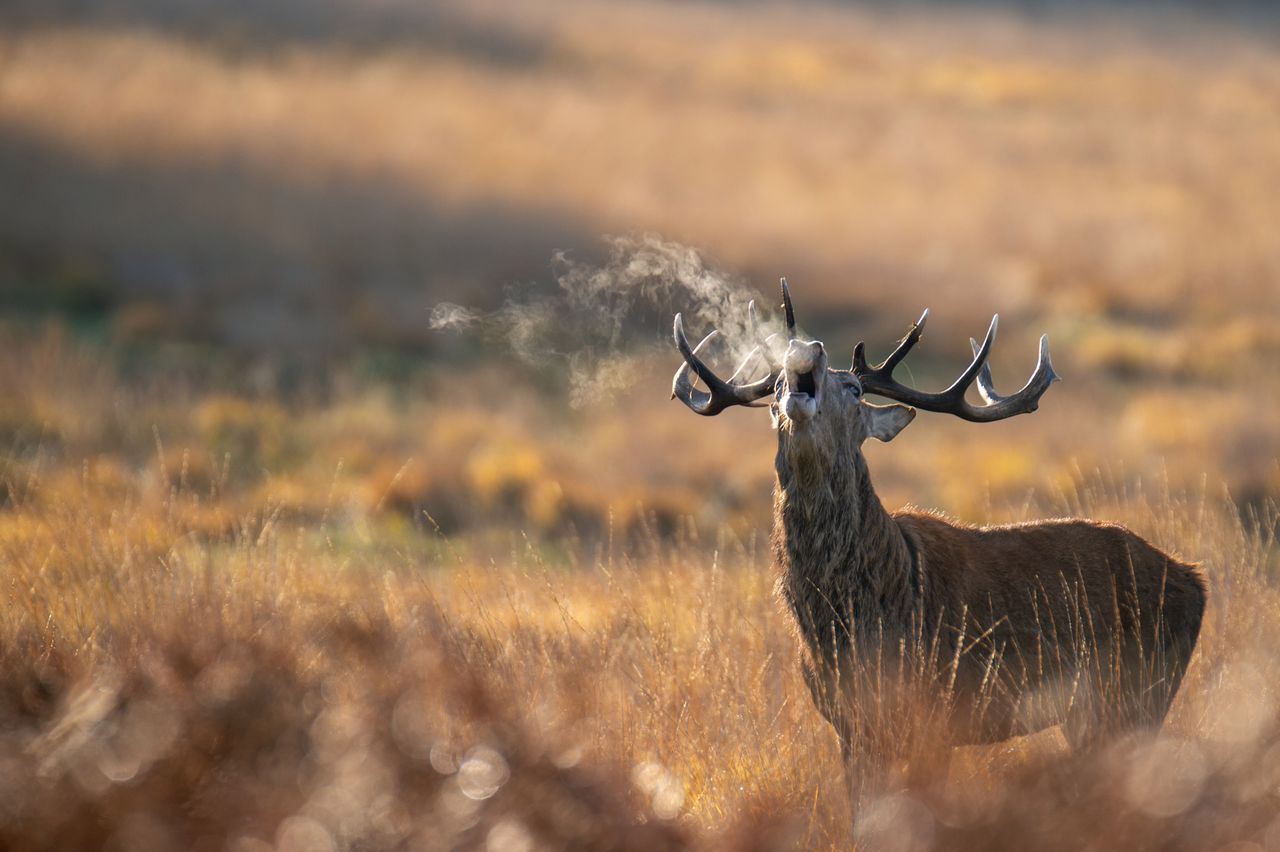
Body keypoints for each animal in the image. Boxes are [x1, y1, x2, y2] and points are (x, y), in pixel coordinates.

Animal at [670, 277, 1208, 777]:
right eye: (777, 386)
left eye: (855, 389)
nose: (808, 350)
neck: (851, 617)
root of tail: (1196, 579)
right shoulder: (849, 724)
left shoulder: (937, 712)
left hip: (1136, 692)